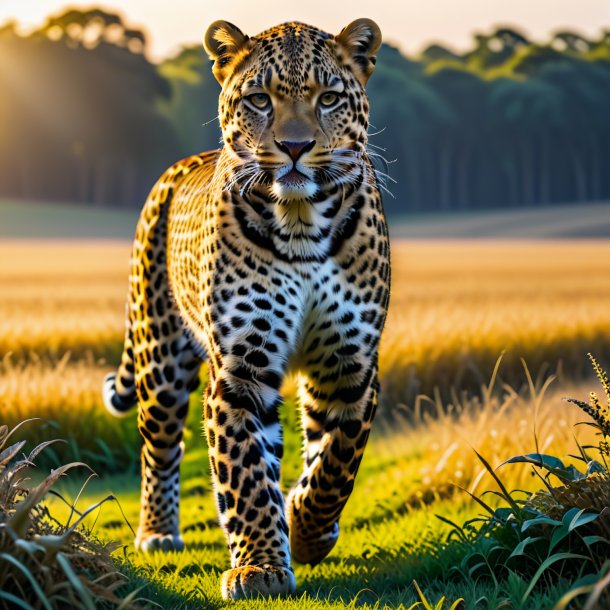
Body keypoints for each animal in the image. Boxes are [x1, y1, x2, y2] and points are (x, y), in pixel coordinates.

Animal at [103, 19, 390, 600]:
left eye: (328, 99)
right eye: (259, 99)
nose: (295, 147)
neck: (302, 224)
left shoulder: (349, 365)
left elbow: (338, 458)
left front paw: (307, 529)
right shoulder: (242, 368)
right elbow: (246, 474)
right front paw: (259, 567)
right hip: (159, 359)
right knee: (159, 448)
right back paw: (158, 534)